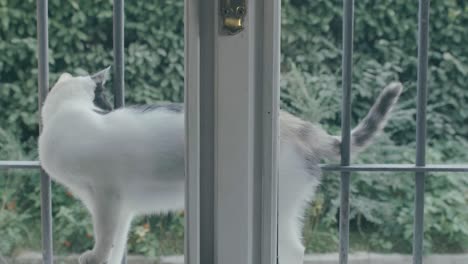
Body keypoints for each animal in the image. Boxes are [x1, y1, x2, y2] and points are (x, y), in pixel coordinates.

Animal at [38, 68, 402, 264]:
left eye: (102, 99)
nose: (109, 106)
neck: (65, 115)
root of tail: (296, 125)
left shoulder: (107, 197)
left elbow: (105, 235)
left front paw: (94, 255)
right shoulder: (122, 207)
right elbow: (116, 242)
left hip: (278, 203)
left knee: (292, 247)